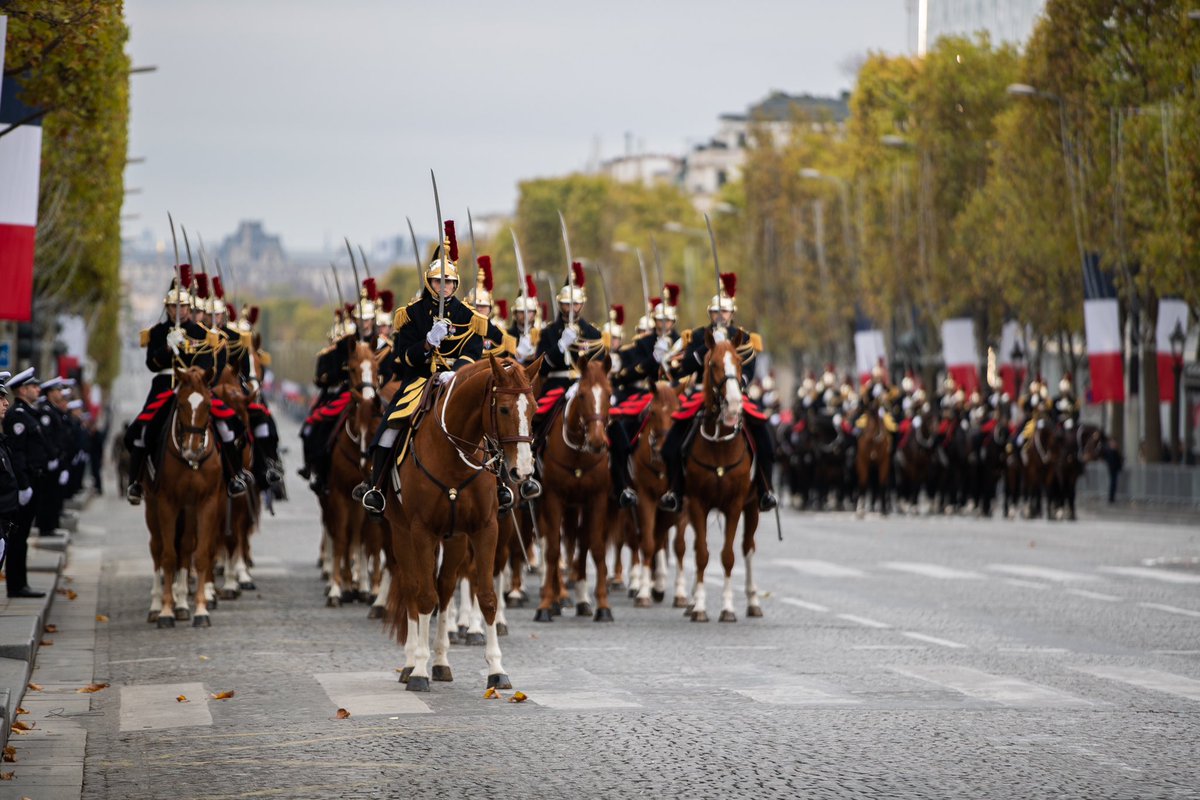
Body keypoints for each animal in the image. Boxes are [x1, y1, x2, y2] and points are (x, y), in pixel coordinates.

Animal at [141, 367, 224, 628]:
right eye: (181, 404)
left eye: (208, 404)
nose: (191, 449)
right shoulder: (167, 503)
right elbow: (168, 556)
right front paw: (166, 612)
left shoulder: (207, 503)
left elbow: (200, 555)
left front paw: (200, 610)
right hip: (152, 506)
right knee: (157, 548)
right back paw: (156, 605)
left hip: (189, 509)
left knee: (186, 547)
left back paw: (181, 603)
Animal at [384, 357, 540, 695]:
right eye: (504, 409)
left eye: (534, 408)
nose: (521, 470)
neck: (453, 455)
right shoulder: (421, 532)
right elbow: (423, 597)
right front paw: (419, 670)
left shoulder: (485, 529)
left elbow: (487, 596)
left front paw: (496, 669)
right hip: (402, 534)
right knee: (413, 589)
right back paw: (411, 663)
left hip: (454, 540)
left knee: (444, 588)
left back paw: (441, 662)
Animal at [532, 357, 614, 623]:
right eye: (582, 395)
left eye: (609, 394)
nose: (597, 442)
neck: (578, 452)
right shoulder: (553, 498)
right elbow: (552, 550)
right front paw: (546, 604)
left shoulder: (596, 499)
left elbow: (594, 548)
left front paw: (602, 605)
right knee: (551, 543)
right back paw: (557, 597)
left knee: (575, 542)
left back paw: (579, 598)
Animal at [686, 335, 758, 623]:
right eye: (713, 363)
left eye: (739, 362)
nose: (735, 404)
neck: (719, 443)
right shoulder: (696, 503)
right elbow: (702, 554)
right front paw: (700, 607)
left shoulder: (735, 504)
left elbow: (728, 556)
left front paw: (728, 608)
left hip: (753, 508)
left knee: (748, 548)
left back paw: (753, 601)